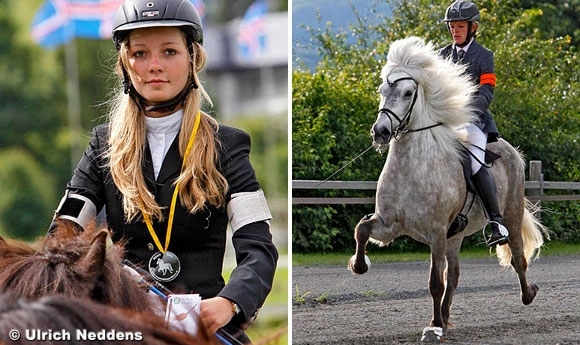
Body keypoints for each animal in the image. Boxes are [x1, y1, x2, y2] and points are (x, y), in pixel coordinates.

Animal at [348, 36, 548, 342]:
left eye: (408, 93)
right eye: (382, 90)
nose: (380, 132)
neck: (412, 167)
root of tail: (512, 150)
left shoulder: (436, 233)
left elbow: (434, 282)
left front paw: (431, 326)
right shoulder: (391, 224)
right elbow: (362, 228)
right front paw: (360, 265)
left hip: (509, 216)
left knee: (517, 257)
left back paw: (528, 294)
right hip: (455, 237)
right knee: (454, 275)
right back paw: (444, 318)